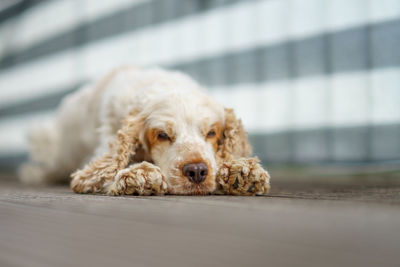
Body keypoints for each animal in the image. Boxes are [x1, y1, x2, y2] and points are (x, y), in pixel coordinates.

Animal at [18, 66, 268, 196]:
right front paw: (140, 175)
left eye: (211, 133)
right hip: (52, 146)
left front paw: (240, 171)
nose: (197, 171)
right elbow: (107, 169)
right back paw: (33, 173)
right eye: (162, 135)